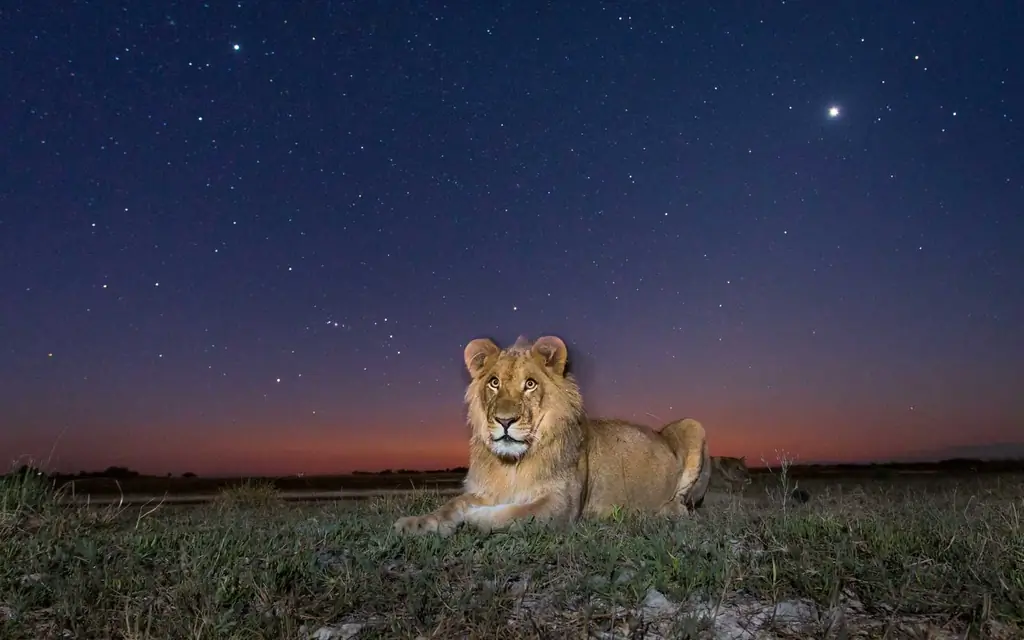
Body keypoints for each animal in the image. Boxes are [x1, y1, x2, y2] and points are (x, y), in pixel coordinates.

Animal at [393, 335, 711, 536]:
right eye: (494, 383)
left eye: (530, 384)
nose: (504, 420)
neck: (512, 464)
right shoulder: (484, 490)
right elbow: (451, 504)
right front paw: (416, 524)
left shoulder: (561, 505)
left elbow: (516, 515)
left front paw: (474, 518)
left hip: (694, 425)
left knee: (684, 507)